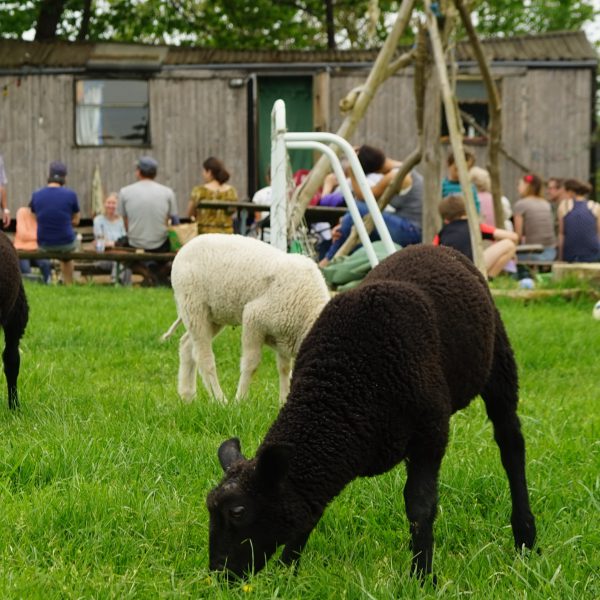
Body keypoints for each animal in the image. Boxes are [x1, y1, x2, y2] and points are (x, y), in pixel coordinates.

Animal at [162, 232, 330, 406]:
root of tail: (185, 247)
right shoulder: (253, 317)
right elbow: (251, 364)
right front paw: (240, 400)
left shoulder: (283, 333)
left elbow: (284, 368)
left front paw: (283, 400)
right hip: (193, 305)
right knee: (203, 357)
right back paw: (220, 400)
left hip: (213, 316)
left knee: (186, 345)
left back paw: (187, 396)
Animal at [209, 245, 536, 580]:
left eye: (238, 511)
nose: (219, 574)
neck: (343, 389)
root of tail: (434, 248)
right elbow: (309, 507)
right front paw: (288, 573)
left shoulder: (430, 434)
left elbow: (420, 506)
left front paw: (421, 576)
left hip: (499, 362)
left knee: (511, 445)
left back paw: (525, 536)